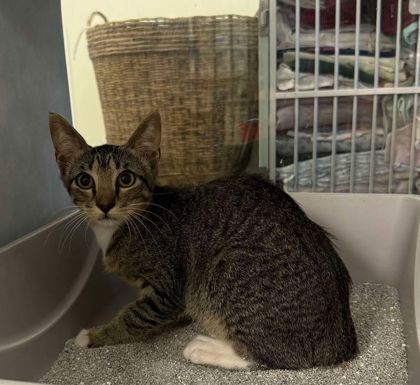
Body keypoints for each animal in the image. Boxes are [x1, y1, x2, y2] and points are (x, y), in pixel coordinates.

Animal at [49, 111, 358, 368]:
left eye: (125, 179)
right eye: (85, 181)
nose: (104, 204)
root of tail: (342, 341)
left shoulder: (166, 291)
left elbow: (133, 318)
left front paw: (93, 335)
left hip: (225, 271)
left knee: (269, 356)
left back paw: (203, 348)